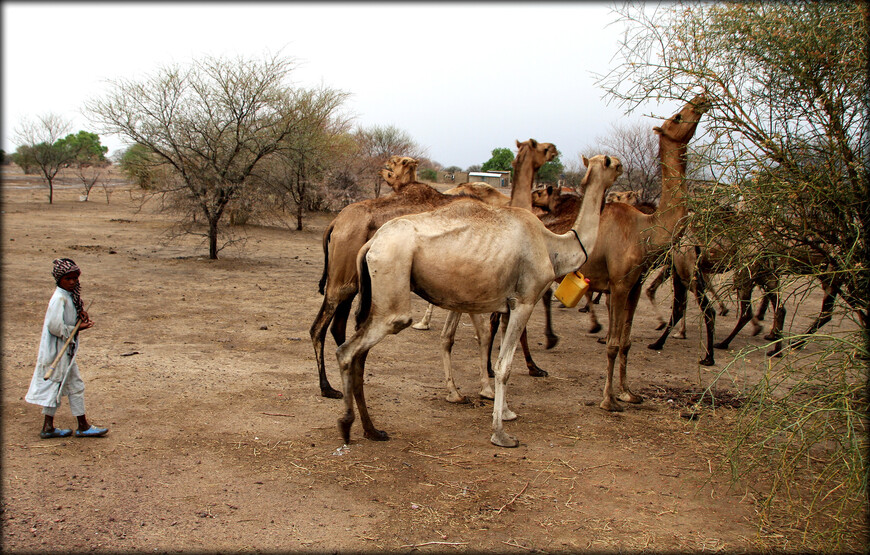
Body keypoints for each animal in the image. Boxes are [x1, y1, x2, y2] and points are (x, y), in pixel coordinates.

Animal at [312, 139, 560, 400]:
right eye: (542, 148)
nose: (554, 149)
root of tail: (335, 223)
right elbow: (488, 331)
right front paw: (495, 382)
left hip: (352, 282)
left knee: (339, 326)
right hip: (341, 280)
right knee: (319, 327)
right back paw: (327, 387)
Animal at [330, 153, 624, 448]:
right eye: (612, 163)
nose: (621, 168)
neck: (554, 246)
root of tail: (372, 244)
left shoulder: (509, 305)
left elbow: (500, 355)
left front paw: (505, 412)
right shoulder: (525, 301)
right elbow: (504, 366)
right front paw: (501, 434)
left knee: (358, 350)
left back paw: (371, 430)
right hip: (392, 284)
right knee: (349, 349)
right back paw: (346, 424)